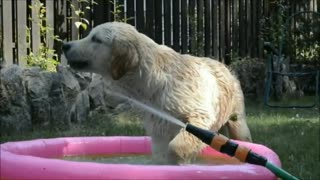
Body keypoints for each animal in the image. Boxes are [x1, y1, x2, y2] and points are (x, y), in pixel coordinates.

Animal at [62, 22, 252, 165]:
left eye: (96, 39)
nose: (65, 45)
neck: (151, 79)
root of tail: (224, 65)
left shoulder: (200, 116)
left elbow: (176, 146)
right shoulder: (159, 128)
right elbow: (161, 154)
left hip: (237, 122)